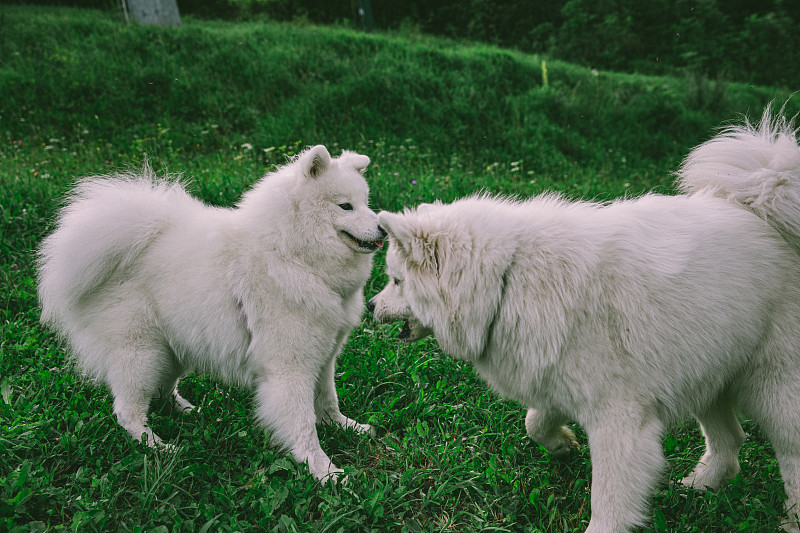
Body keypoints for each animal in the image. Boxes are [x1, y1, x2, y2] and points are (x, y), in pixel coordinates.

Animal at [38, 145, 384, 482]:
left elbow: (327, 400)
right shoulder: (290, 366)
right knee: (128, 410)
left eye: (366, 203)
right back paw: (158, 446)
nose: (383, 228)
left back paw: (189, 411)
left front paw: (344, 426)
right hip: (140, 352)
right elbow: (303, 423)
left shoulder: (324, 355)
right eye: (345, 206)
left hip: (173, 347)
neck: (292, 254)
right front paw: (323, 469)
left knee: (164, 390)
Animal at [370, 109, 800, 532]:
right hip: (709, 373)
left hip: (774, 386)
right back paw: (700, 485)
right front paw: (562, 444)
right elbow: (533, 422)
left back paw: (789, 518)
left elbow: (607, 505)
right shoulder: (557, 381)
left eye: (395, 280)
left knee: (788, 451)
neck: (508, 278)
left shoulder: (619, 421)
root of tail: (766, 214)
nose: (371, 305)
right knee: (730, 441)